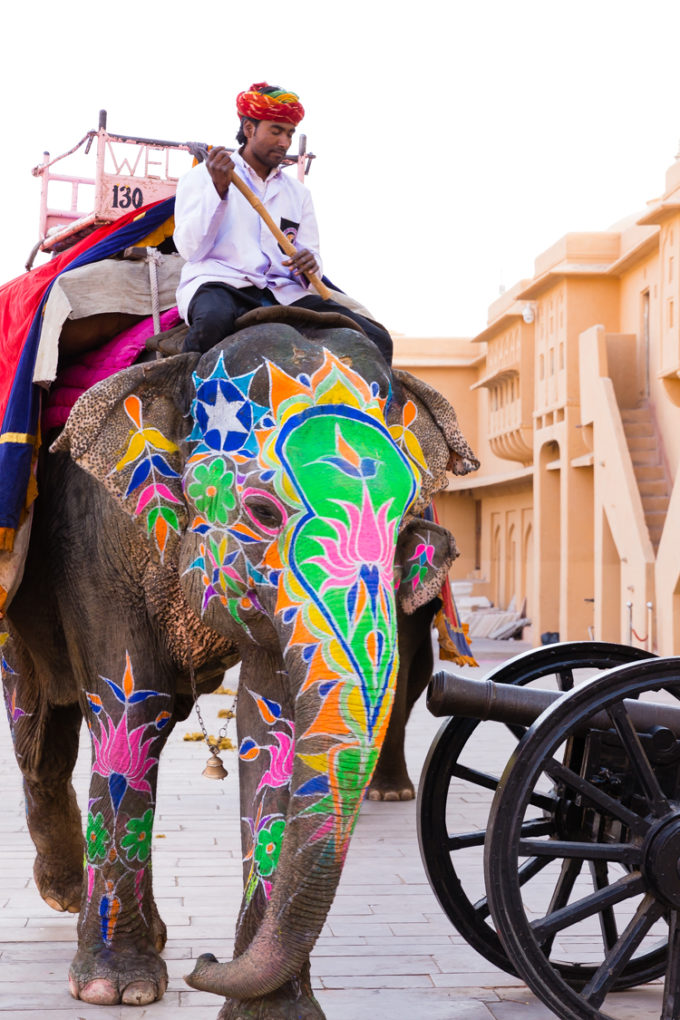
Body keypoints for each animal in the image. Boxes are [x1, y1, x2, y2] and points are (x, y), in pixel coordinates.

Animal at [1, 320, 479, 1020]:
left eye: (408, 526)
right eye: (264, 512)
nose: (205, 962)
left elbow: (271, 724)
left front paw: (274, 1012)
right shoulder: (94, 541)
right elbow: (132, 707)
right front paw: (116, 991)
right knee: (41, 729)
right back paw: (62, 893)